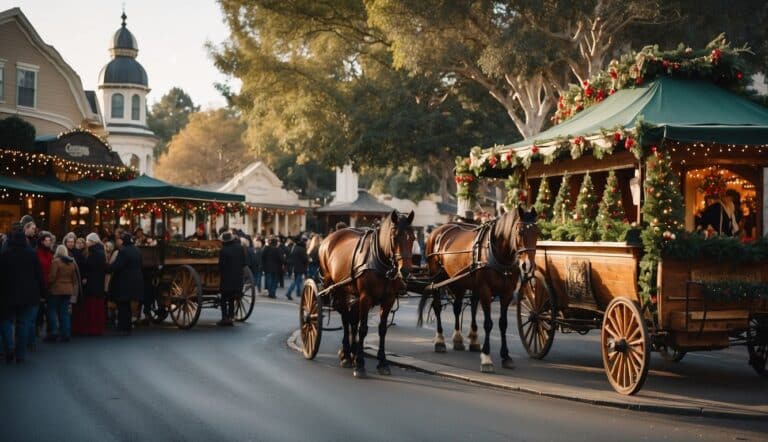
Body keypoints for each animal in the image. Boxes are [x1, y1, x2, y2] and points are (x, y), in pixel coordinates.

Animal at [318, 210, 414, 376]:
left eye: (413, 238)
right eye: (394, 237)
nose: (405, 271)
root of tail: (331, 237)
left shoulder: (388, 299)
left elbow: (382, 329)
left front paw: (382, 362)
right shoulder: (365, 298)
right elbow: (362, 329)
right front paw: (360, 364)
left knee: (351, 319)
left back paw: (350, 352)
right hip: (338, 289)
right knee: (345, 319)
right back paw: (347, 355)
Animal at [416, 207, 536, 372]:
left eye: (537, 232)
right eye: (519, 231)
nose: (527, 266)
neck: (497, 253)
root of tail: (438, 230)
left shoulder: (507, 293)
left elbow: (502, 323)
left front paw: (506, 356)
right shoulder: (485, 290)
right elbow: (488, 323)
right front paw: (486, 358)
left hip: (458, 281)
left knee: (458, 307)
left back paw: (459, 339)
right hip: (437, 279)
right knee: (437, 306)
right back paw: (440, 340)